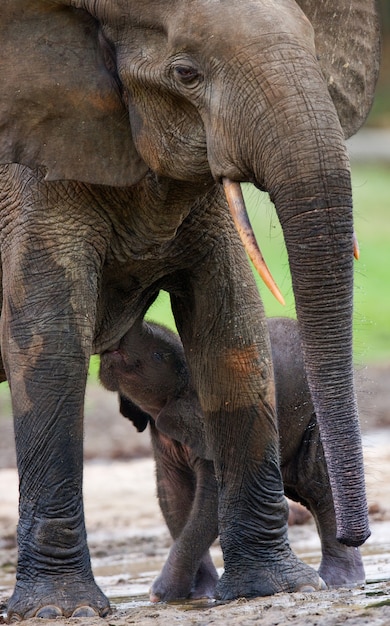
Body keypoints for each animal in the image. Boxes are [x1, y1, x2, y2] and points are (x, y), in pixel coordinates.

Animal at [99, 316, 364, 600]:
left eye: (157, 355)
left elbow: (210, 497)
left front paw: (160, 595)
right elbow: (173, 495)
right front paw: (195, 596)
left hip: (313, 417)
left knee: (317, 487)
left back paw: (340, 581)